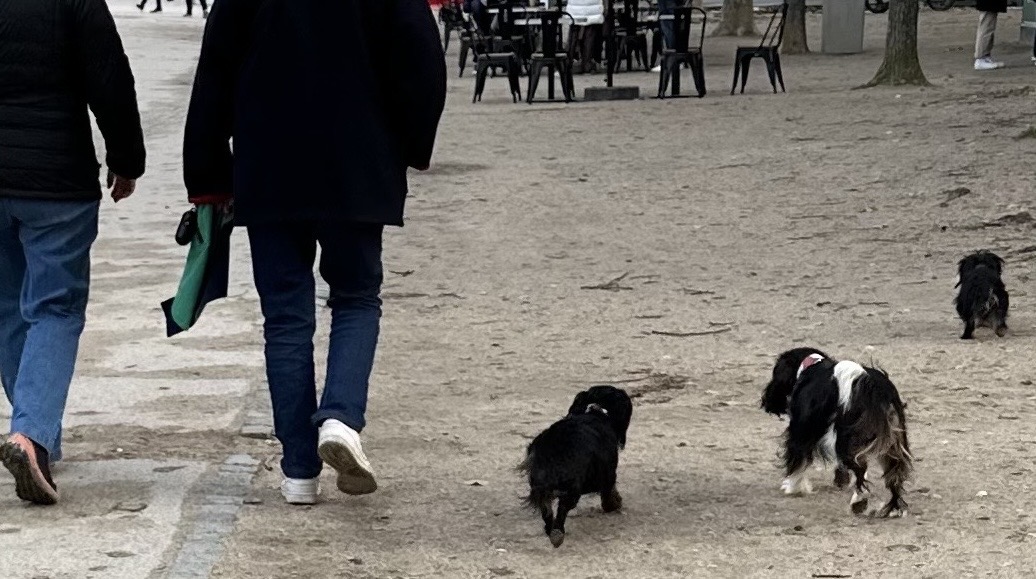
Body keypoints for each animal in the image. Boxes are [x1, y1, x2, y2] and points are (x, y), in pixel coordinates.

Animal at [518, 385, 629, 546]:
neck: (596, 412)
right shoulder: (607, 473)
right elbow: (609, 491)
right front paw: (614, 503)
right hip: (574, 488)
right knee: (562, 508)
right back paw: (557, 533)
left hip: (541, 484)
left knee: (546, 509)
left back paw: (551, 530)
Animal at [762, 345, 915, 517]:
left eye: (775, 372)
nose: (766, 400)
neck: (811, 366)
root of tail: (870, 386)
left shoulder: (802, 430)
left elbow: (797, 461)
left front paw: (793, 487)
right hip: (890, 440)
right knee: (892, 473)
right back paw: (892, 508)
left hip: (846, 439)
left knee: (861, 468)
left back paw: (859, 502)